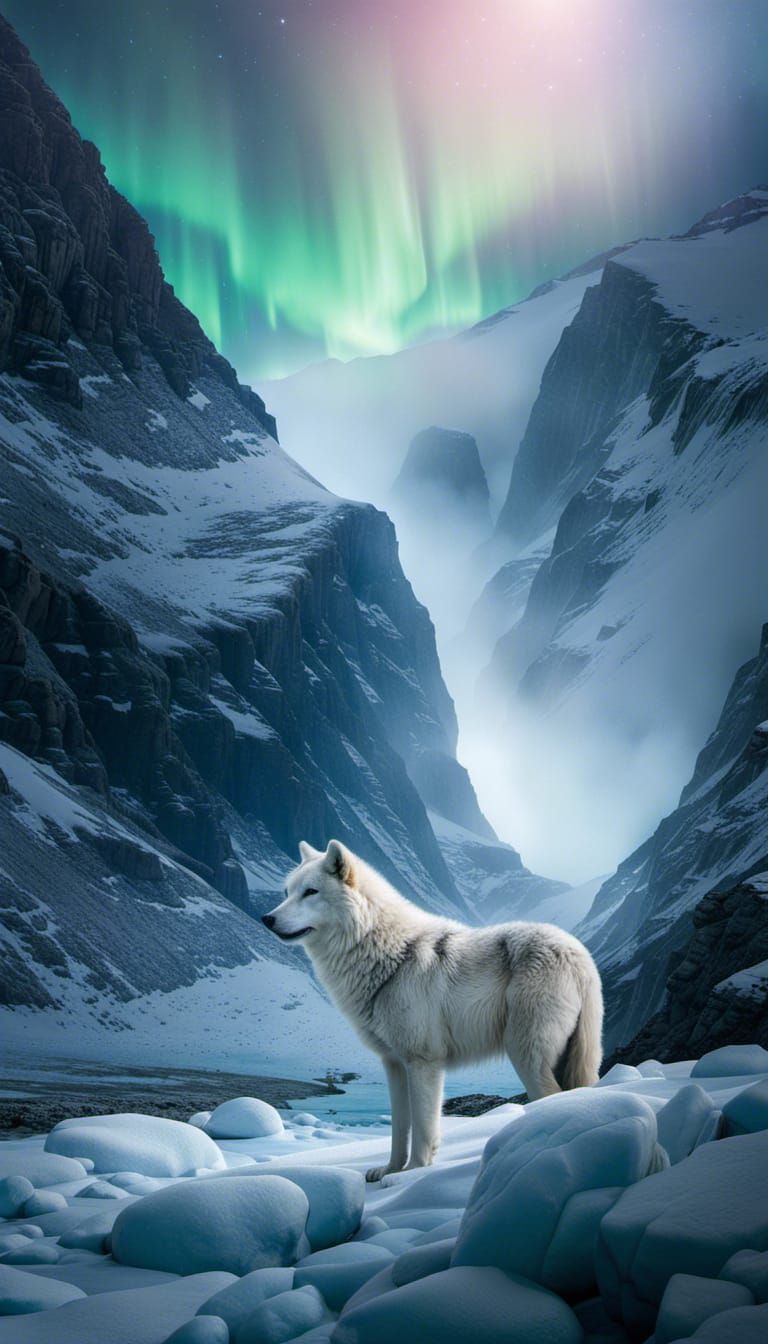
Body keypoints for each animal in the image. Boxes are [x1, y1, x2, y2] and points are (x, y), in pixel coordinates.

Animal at [262, 839, 603, 1181]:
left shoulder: (423, 1061)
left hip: (525, 1055)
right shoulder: (394, 1064)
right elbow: (399, 1128)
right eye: (287, 892)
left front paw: (413, 1172)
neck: (388, 956)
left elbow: (424, 1128)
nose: (267, 919)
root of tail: (579, 954)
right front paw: (390, 1171)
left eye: (311, 892)